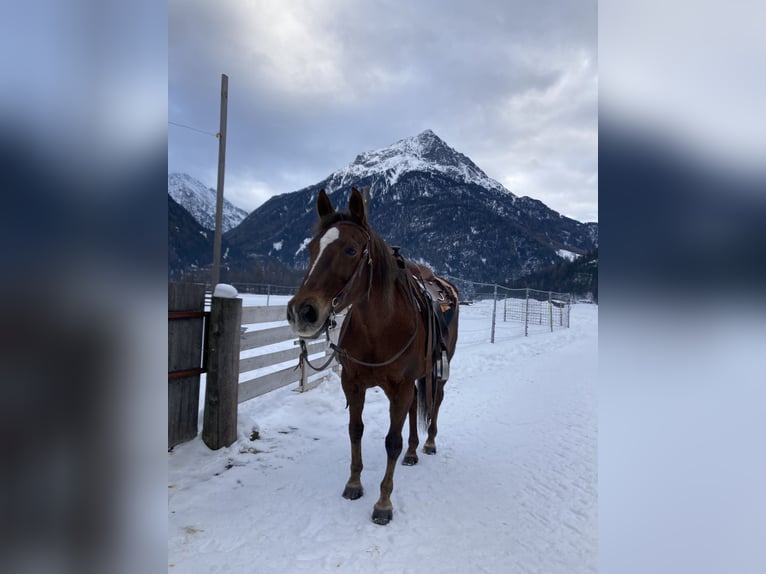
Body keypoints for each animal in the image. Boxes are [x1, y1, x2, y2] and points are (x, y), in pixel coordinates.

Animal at [286, 188, 456, 528]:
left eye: (351, 249)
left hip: (437, 372)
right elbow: (356, 430)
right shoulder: (353, 383)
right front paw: (354, 483)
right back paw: (413, 453)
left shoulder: (400, 387)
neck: (381, 327)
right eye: (311, 248)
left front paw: (383, 502)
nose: (302, 311)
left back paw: (429, 443)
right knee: (415, 410)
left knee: (436, 402)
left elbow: (392, 441)